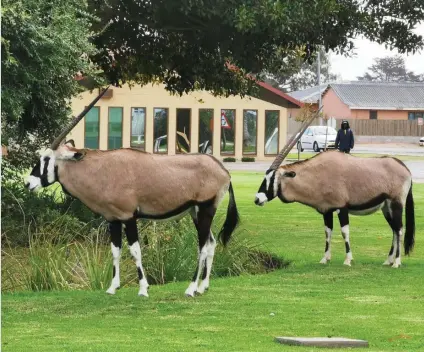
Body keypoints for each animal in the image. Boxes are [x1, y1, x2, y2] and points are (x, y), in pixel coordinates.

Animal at [25, 86, 238, 296]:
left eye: (46, 159)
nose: (28, 183)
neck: (101, 170)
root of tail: (224, 171)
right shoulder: (113, 219)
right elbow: (115, 251)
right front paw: (113, 287)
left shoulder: (128, 217)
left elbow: (135, 251)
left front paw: (143, 288)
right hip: (195, 212)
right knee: (210, 243)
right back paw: (203, 286)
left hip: (205, 209)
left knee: (202, 246)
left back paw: (191, 288)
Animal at [255, 111, 414, 268]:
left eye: (272, 179)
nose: (257, 199)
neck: (318, 174)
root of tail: (404, 168)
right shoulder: (327, 210)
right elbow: (327, 232)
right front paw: (325, 258)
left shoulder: (341, 208)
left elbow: (345, 232)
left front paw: (348, 260)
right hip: (386, 207)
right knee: (394, 230)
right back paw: (388, 260)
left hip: (396, 203)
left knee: (399, 230)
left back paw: (397, 262)